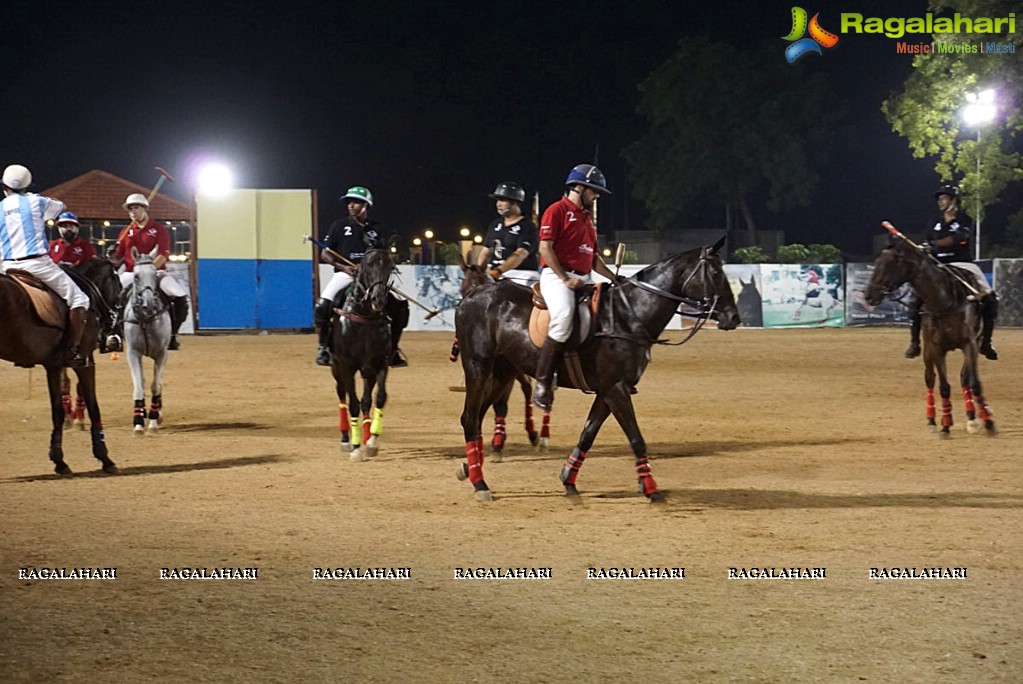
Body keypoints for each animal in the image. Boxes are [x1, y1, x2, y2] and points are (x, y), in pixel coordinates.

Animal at [0, 257, 121, 474]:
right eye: (118, 283)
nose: (113, 332)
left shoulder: (53, 365)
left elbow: (57, 411)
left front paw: (59, 461)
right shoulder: (85, 361)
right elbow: (94, 406)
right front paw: (105, 458)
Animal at [123, 248, 171, 435]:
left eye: (154, 275)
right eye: (136, 276)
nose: (148, 304)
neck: (145, 319)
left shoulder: (162, 353)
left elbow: (155, 386)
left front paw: (153, 420)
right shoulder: (133, 353)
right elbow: (139, 386)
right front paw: (138, 422)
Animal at [454, 239, 736, 500]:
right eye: (715, 273)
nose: (734, 317)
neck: (629, 316)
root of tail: (471, 297)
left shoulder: (609, 390)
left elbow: (588, 434)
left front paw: (568, 479)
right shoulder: (615, 388)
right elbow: (636, 438)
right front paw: (651, 488)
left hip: (503, 372)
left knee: (478, 417)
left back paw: (471, 467)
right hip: (478, 367)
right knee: (469, 418)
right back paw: (480, 483)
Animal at [867, 232, 994, 435]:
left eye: (892, 262)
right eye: (877, 261)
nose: (869, 295)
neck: (945, 302)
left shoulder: (970, 344)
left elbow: (973, 382)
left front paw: (986, 421)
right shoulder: (936, 349)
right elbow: (943, 386)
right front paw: (945, 424)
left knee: (964, 379)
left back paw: (972, 416)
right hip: (926, 351)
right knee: (930, 379)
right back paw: (932, 420)